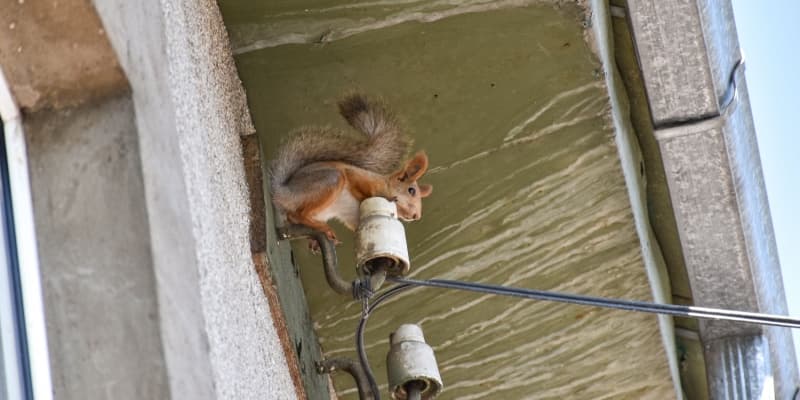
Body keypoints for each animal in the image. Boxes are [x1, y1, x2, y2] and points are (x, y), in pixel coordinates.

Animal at [269, 93, 433, 244]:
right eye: (411, 190)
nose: (416, 216)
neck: (384, 184)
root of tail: (282, 192)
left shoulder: (355, 221)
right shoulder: (358, 175)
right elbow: (359, 185)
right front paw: (374, 196)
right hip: (329, 180)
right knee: (297, 215)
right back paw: (323, 228)